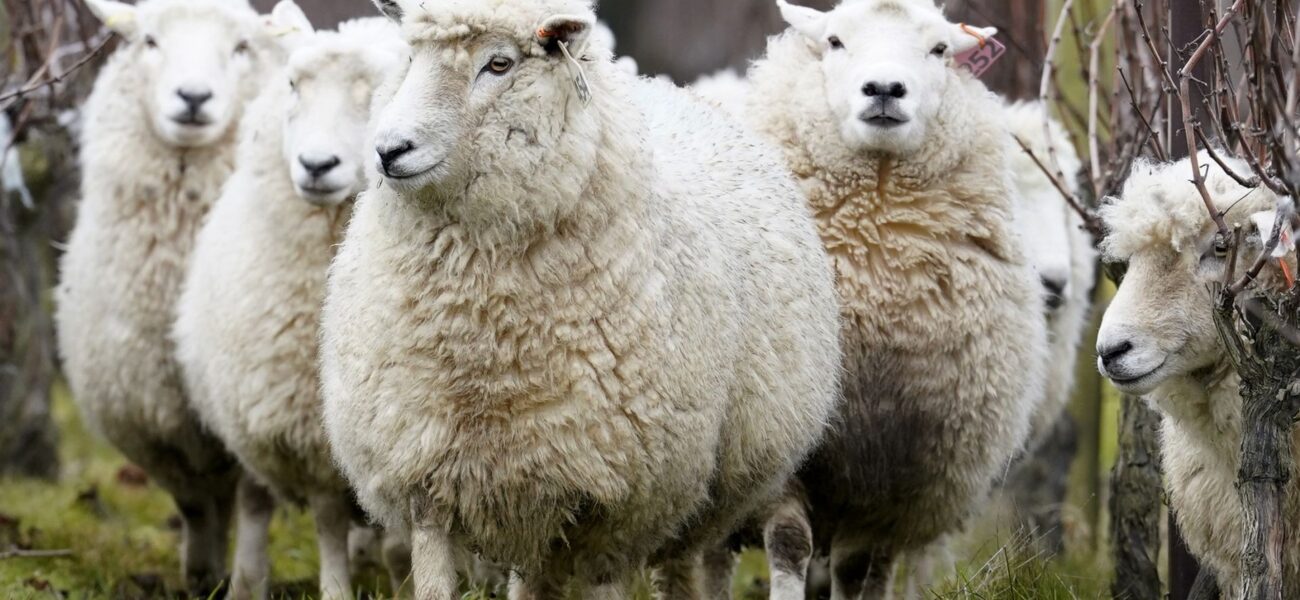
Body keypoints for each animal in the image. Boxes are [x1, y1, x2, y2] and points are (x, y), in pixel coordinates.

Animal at [54, 0, 287, 591]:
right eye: (150, 41)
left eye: (242, 47)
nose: (194, 97)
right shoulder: (155, 419)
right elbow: (194, 505)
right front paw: (201, 577)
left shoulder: (252, 403)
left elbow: (254, 500)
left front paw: (247, 584)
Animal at [172, 12, 408, 599]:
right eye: (295, 85)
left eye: (375, 91)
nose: (316, 165)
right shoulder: (309, 435)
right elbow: (327, 522)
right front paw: (337, 589)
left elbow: (400, 540)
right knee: (256, 502)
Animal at [318, 0, 842, 597]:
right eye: (411, 56)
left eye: (499, 63)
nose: (389, 150)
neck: (486, 340)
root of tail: (670, 91)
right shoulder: (423, 471)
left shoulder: (618, 503)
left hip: (687, 494)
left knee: (678, 564)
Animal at [737, 1, 1049, 597]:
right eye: (834, 41)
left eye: (940, 49)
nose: (884, 88)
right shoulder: (785, 453)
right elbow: (789, 543)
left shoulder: (897, 481)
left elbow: (858, 568)